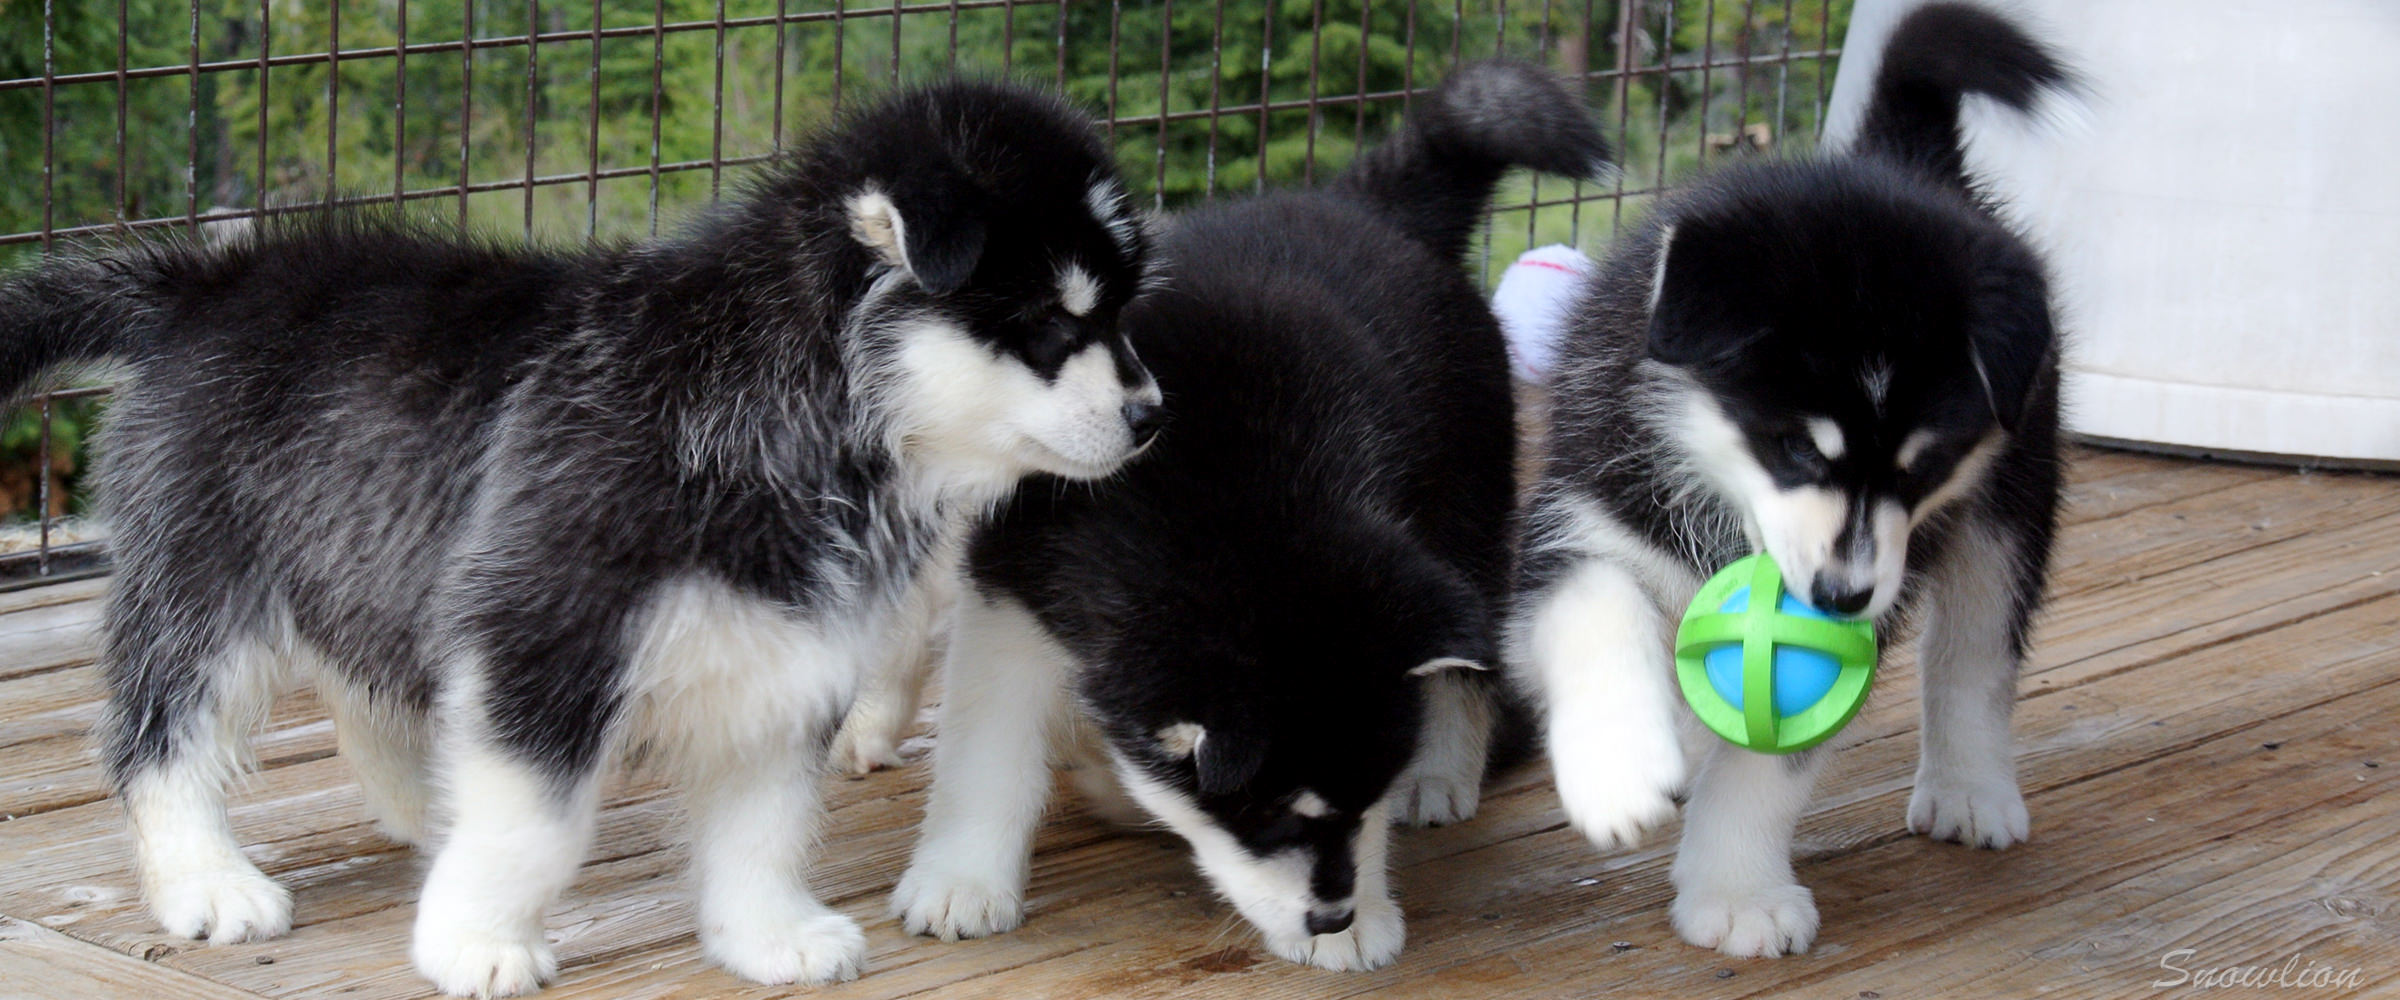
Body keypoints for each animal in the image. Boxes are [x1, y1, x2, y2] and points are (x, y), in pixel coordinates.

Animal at [0, 79, 1156, 997]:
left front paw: (765, 933)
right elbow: (537, 825)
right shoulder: (545, 623)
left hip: (368, 542)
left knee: (361, 689)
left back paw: (428, 810)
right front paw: (474, 942)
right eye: (1054, 325)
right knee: (161, 732)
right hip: (210, 577)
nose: (1153, 415)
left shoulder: (787, 649)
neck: (785, 387)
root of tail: (210, 281)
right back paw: (207, 879)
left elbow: (767, 815)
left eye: (1122, 314)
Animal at [883, 60, 1612, 968]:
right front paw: (963, 878)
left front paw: (1366, 907)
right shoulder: (1014, 585)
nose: (1331, 916)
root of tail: (1365, 204)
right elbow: (985, 746)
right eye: (1267, 817)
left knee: (1466, 657)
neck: (1222, 511)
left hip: (1465, 503)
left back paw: (1445, 768)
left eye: (1363, 796)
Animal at [1507, 3, 2073, 964]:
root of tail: (1900, 159)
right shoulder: (1585, 514)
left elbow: (1768, 764)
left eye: (1924, 467)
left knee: (1976, 649)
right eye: (1795, 449)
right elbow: (1595, 608)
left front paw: (1737, 894)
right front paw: (1620, 770)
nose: (1842, 596)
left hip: (2016, 494)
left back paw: (1970, 787)